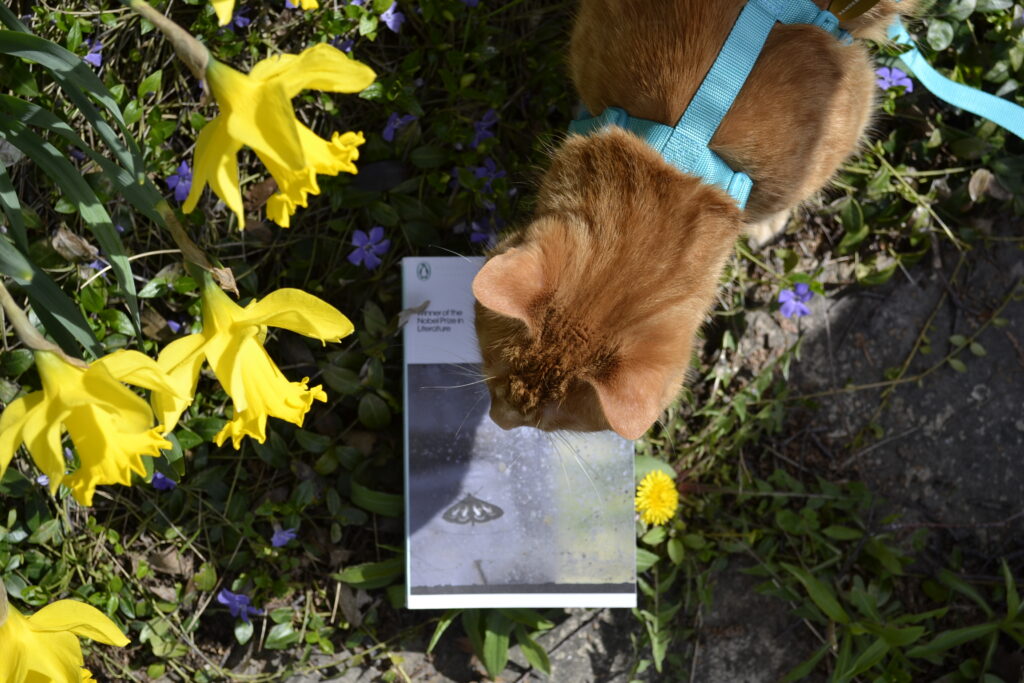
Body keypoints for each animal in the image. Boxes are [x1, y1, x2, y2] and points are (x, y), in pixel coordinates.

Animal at [471, 0, 921, 438]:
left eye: (553, 422)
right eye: (494, 372)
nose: (500, 421)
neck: (681, 143)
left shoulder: (855, 107)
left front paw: (763, 223)